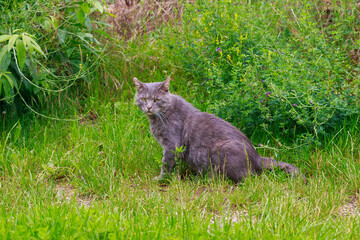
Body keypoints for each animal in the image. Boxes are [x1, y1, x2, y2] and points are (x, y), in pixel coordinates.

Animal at [134, 77, 302, 182]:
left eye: (156, 100)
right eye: (143, 99)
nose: (148, 107)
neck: (159, 117)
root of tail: (258, 158)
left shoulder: (172, 145)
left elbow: (166, 164)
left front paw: (162, 178)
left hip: (223, 150)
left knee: (244, 177)